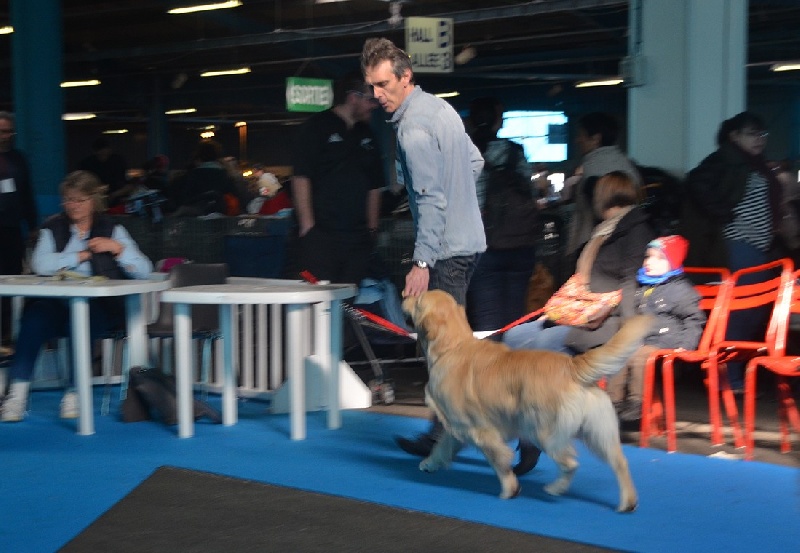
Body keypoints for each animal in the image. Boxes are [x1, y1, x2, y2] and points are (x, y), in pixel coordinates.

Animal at [402, 289, 653, 512]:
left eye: (419, 300)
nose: (405, 295)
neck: (452, 346)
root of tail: (571, 365)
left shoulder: (478, 429)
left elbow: (499, 459)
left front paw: (510, 489)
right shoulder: (456, 425)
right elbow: (441, 445)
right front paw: (430, 462)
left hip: (543, 431)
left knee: (570, 463)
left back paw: (555, 488)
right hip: (597, 432)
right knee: (620, 462)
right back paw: (628, 502)